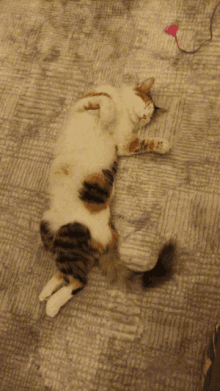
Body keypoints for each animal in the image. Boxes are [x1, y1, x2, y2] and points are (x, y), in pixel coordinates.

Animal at [39, 77, 170, 318]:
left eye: (149, 115)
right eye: (146, 104)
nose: (144, 117)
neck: (125, 113)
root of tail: (110, 230)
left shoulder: (123, 143)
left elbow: (138, 139)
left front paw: (162, 144)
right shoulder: (87, 105)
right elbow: (103, 100)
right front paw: (107, 108)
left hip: (70, 234)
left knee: (78, 281)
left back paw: (52, 305)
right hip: (50, 229)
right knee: (65, 273)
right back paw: (46, 293)